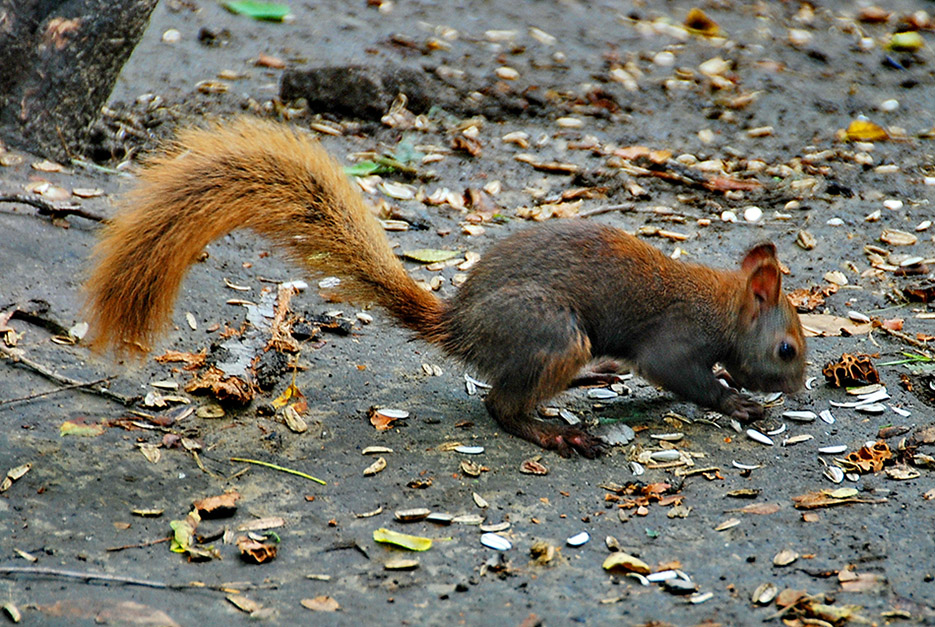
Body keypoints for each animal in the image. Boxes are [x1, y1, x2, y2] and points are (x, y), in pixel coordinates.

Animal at [84, 118, 808, 458]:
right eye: (787, 350)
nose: (801, 388)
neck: (723, 305)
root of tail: (457, 325)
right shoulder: (675, 341)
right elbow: (682, 377)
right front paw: (738, 403)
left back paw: (588, 383)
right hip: (551, 332)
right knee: (501, 405)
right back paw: (557, 434)